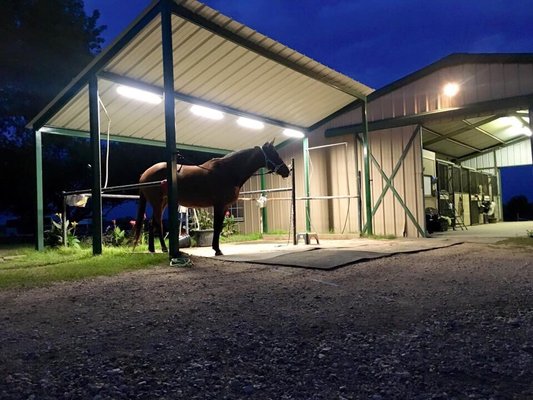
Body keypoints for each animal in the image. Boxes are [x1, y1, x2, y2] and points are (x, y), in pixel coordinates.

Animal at [133, 139, 290, 255]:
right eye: (274, 154)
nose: (287, 171)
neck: (228, 171)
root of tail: (144, 174)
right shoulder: (219, 205)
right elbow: (217, 227)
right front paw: (217, 249)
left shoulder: (225, 206)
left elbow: (219, 227)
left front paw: (217, 249)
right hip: (157, 203)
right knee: (157, 224)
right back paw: (163, 249)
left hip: (163, 203)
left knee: (153, 223)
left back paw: (153, 249)